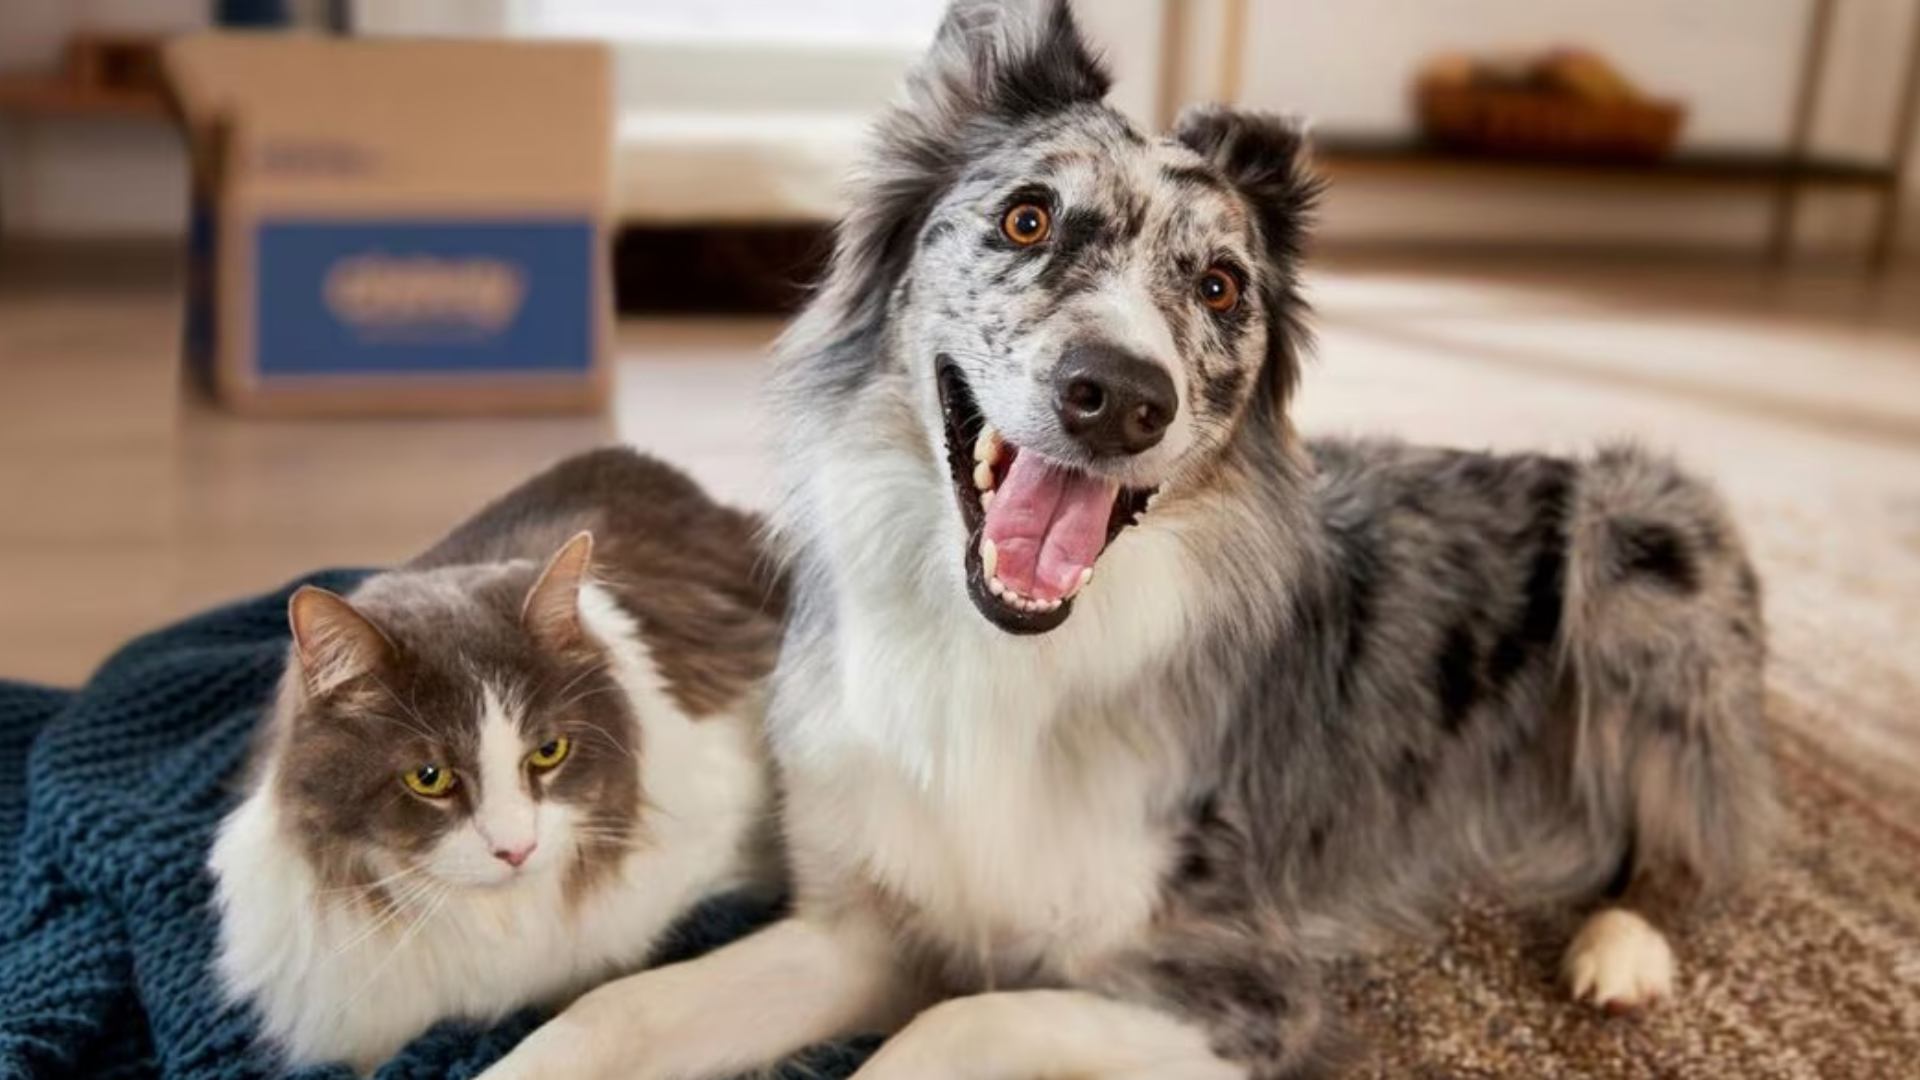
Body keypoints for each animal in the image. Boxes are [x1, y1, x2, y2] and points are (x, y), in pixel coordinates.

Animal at [487, 4, 1774, 1068]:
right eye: (1027, 219)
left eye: (1219, 287)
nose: (1118, 399)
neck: (1005, 655)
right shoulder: (865, 925)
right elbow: (610, 1010)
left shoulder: (1241, 992)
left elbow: (954, 1025)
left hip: (1640, 533)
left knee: (1703, 833)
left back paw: (1623, 945)